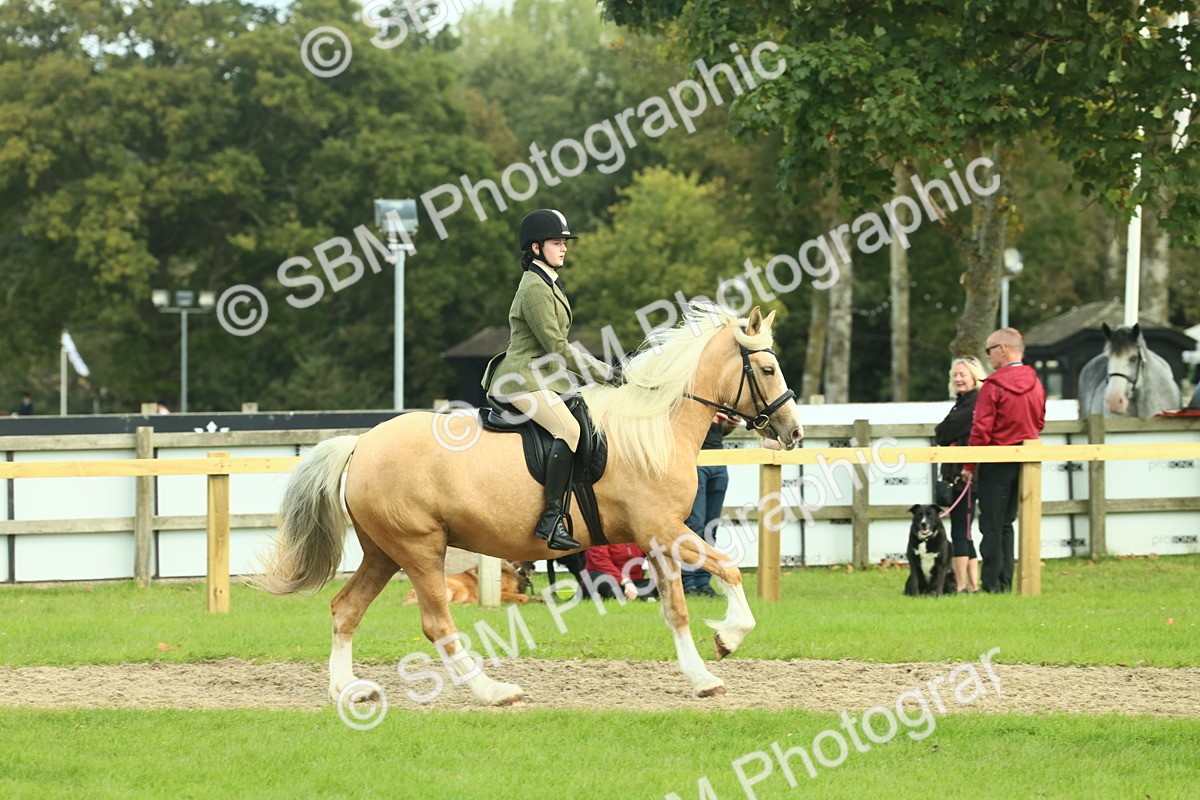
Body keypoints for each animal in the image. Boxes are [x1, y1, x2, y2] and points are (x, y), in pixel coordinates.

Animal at [258, 304, 804, 706]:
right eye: (768, 368)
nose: (794, 432)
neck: (654, 427)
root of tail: (361, 443)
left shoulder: (658, 540)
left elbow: (679, 608)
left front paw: (704, 673)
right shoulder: (664, 530)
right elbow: (724, 572)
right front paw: (727, 641)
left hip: (383, 552)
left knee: (345, 609)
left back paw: (347, 691)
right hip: (419, 550)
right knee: (437, 624)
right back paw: (492, 692)